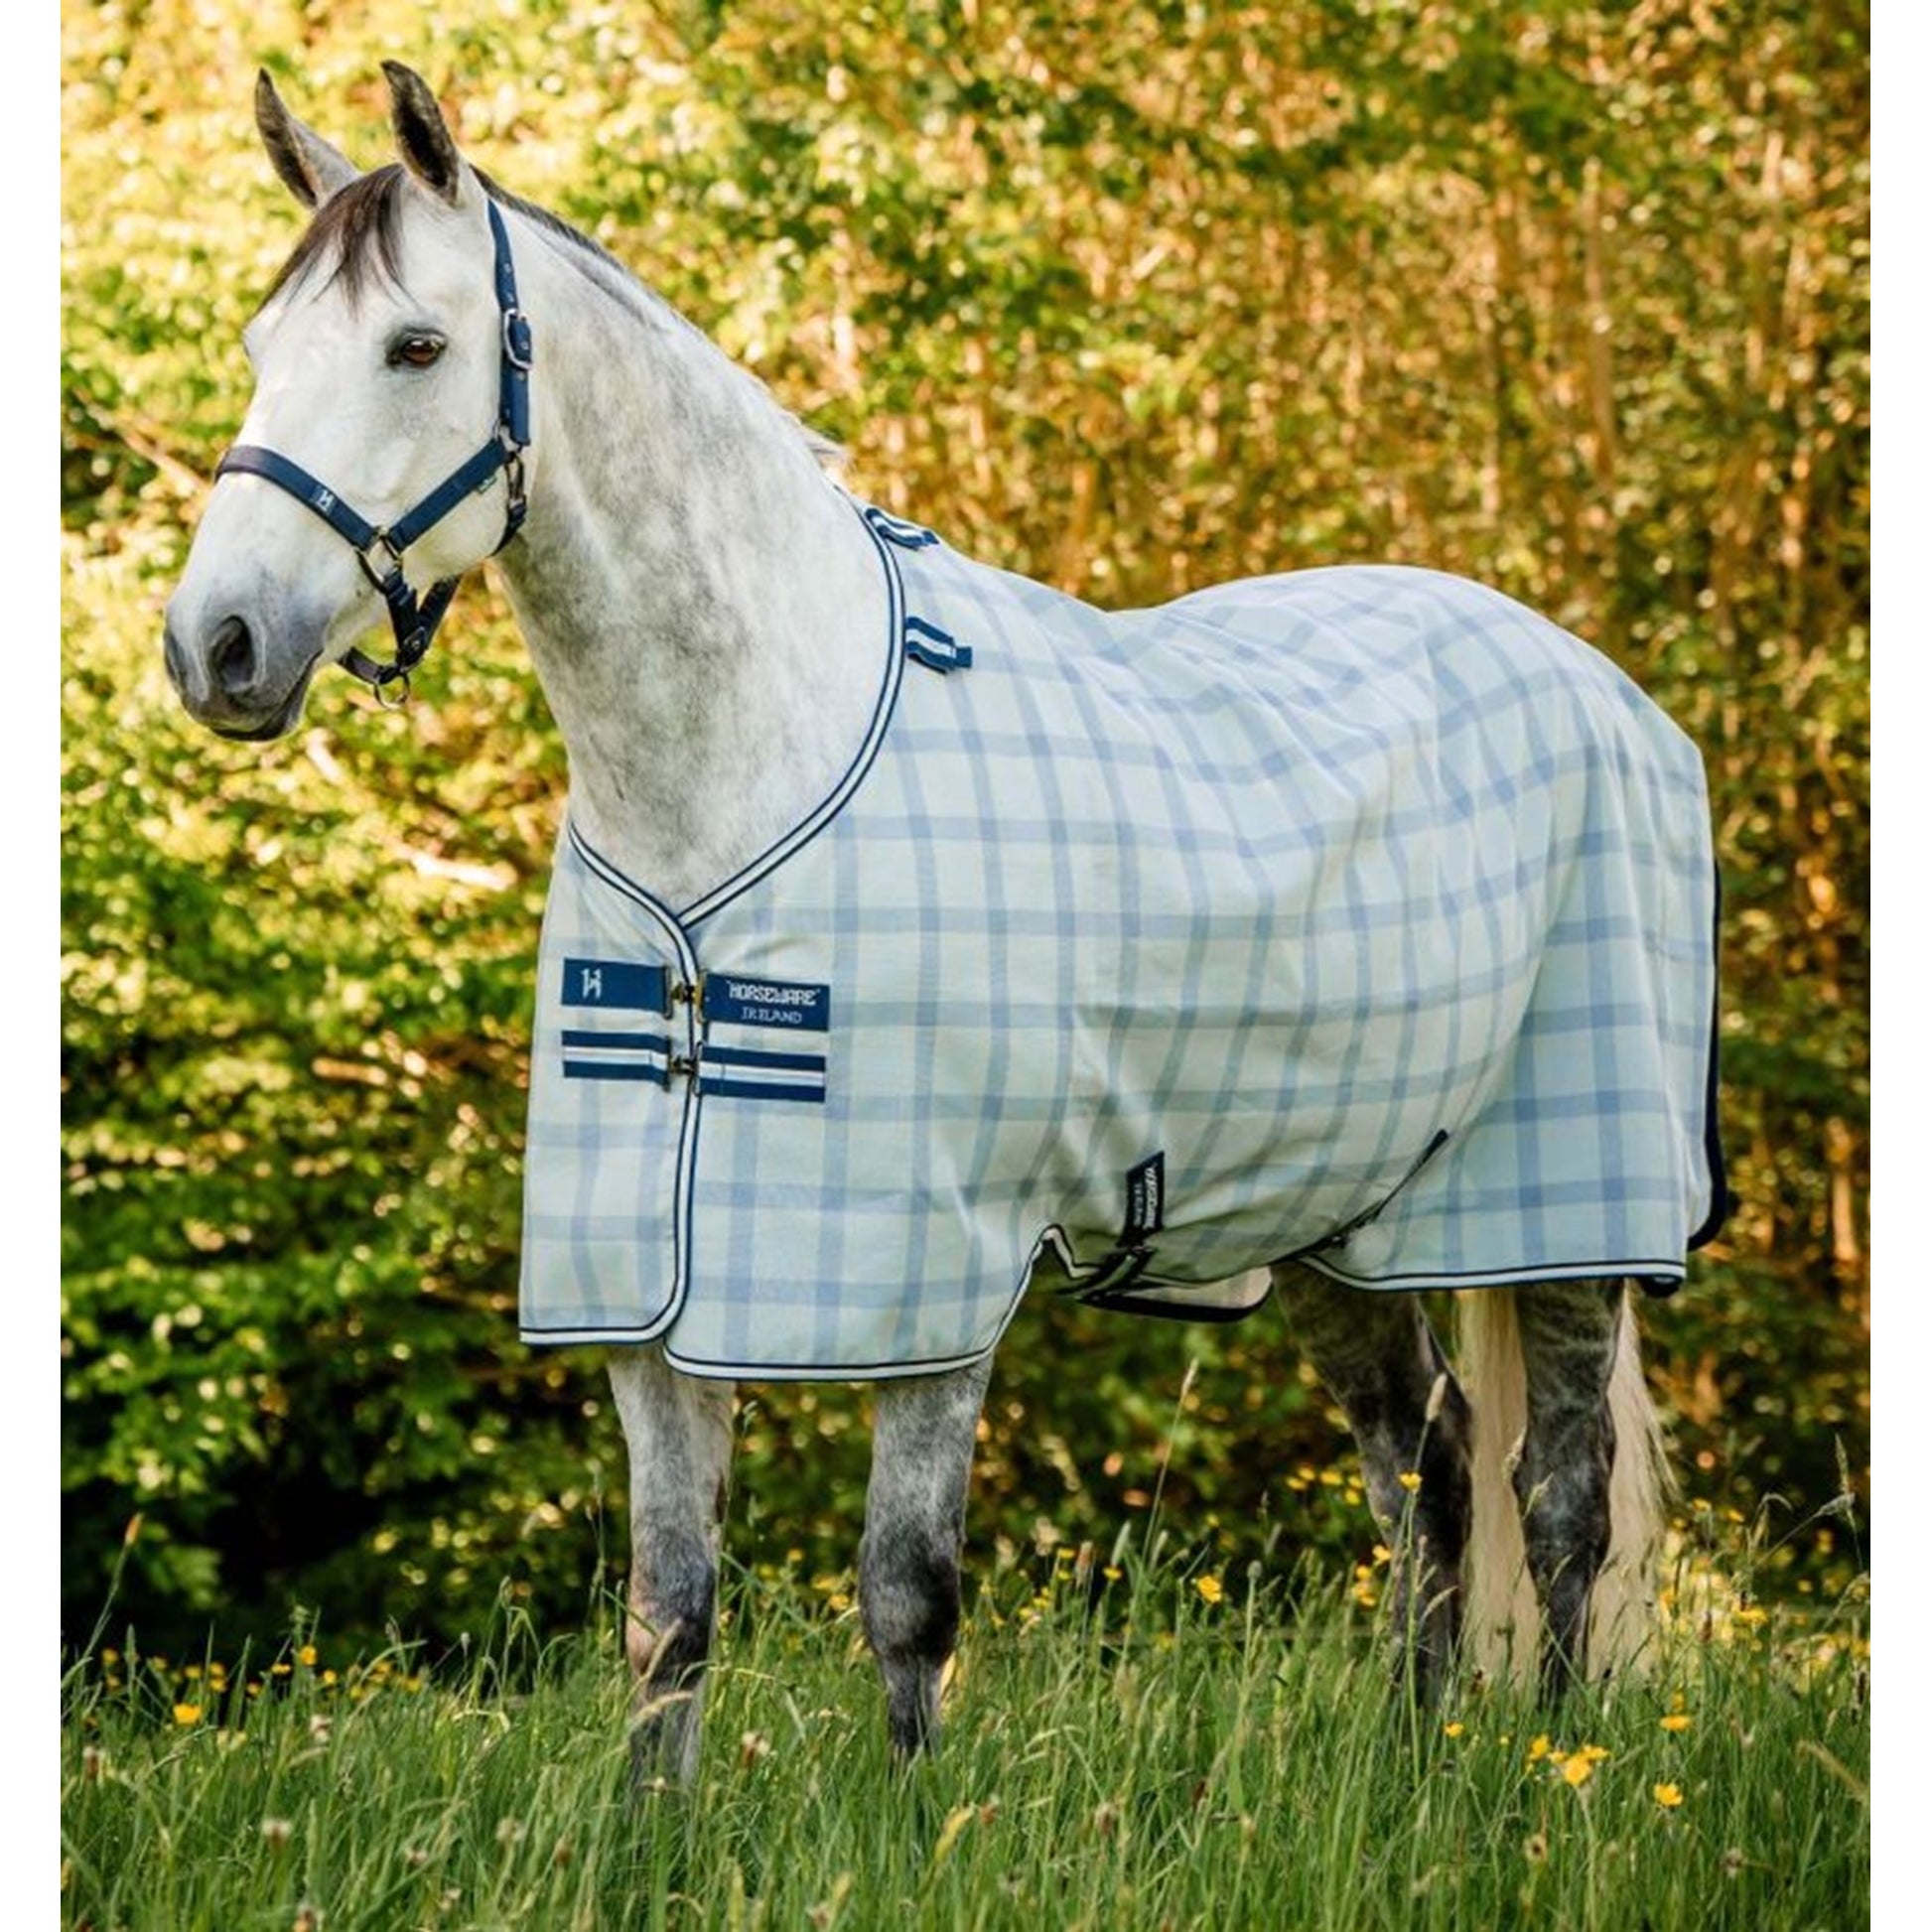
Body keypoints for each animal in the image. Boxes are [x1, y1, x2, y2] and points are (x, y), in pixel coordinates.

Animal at [163, 64, 1726, 1783]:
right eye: (263, 347)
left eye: (414, 347)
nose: (214, 644)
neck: (744, 765)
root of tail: (1598, 684)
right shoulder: (650, 1303)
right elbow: (667, 1616)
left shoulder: (931, 1281)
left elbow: (906, 1596)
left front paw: (918, 1819)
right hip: (1337, 1205)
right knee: (1427, 1467)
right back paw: (1410, 1755)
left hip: (1569, 1215)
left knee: (1557, 1498)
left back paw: (1554, 1770)